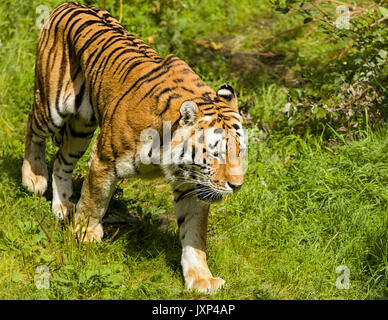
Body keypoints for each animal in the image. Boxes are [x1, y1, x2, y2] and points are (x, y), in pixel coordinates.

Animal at [22, 1, 246, 296]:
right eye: (216, 153)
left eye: (240, 152)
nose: (237, 186)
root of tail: (67, 4)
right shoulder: (104, 158)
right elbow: (94, 200)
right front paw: (85, 235)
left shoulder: (191, 185)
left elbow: (194, 234)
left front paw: (201, 279)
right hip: (52, 105)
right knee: (32, 127)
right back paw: (34, 178)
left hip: (82, 125)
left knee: (61, 160)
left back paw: (64, 207)